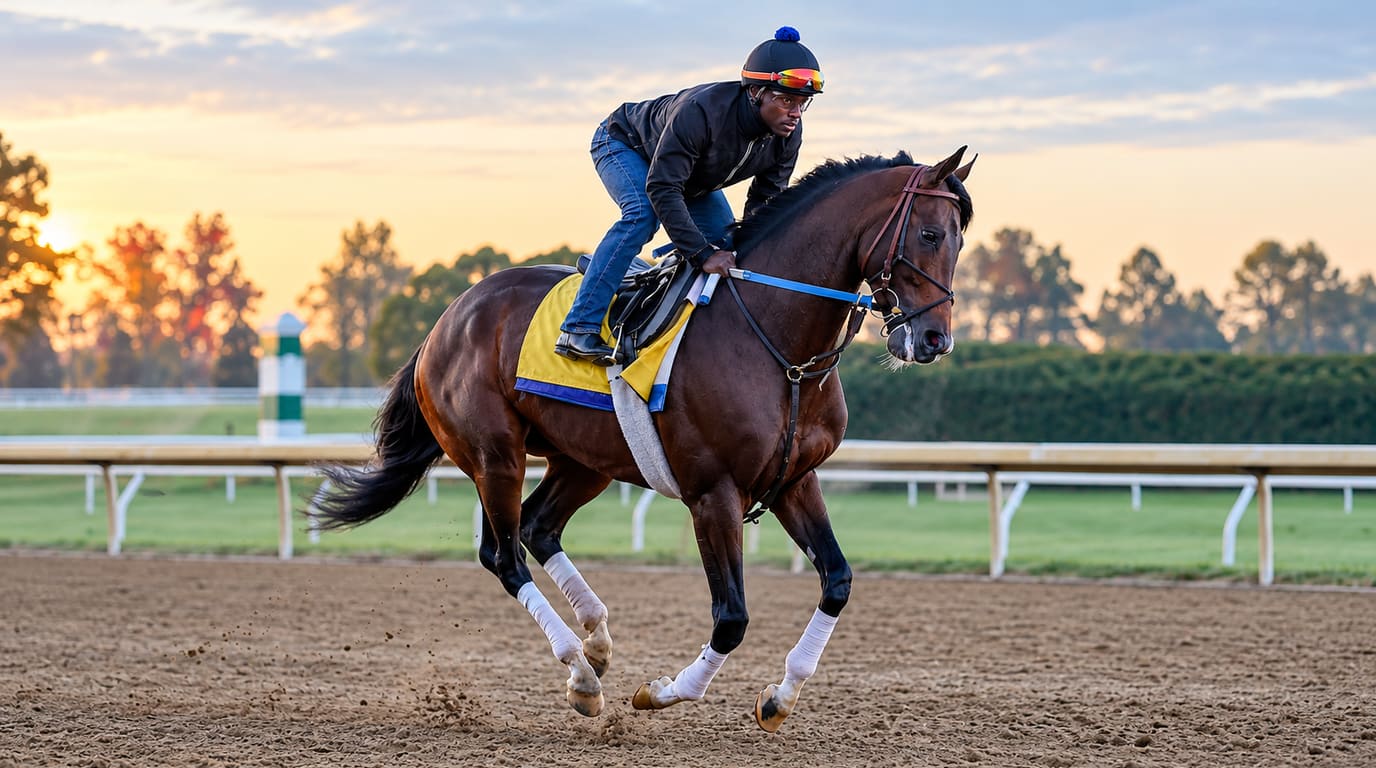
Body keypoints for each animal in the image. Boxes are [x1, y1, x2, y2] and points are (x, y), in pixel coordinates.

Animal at [311, 146, 975, 731]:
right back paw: (581, 674)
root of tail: (446, 319)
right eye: (929, 235)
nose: (934, 339)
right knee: (503, 555)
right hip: (493, 455)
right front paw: (663, 692)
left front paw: (779, 697)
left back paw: (597, 641)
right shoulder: (714, 493)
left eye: (960, 238)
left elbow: (837, 581)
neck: (780, 349)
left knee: (538, 527)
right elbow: (731, 616)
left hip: (585, 459)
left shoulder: (793, 479)